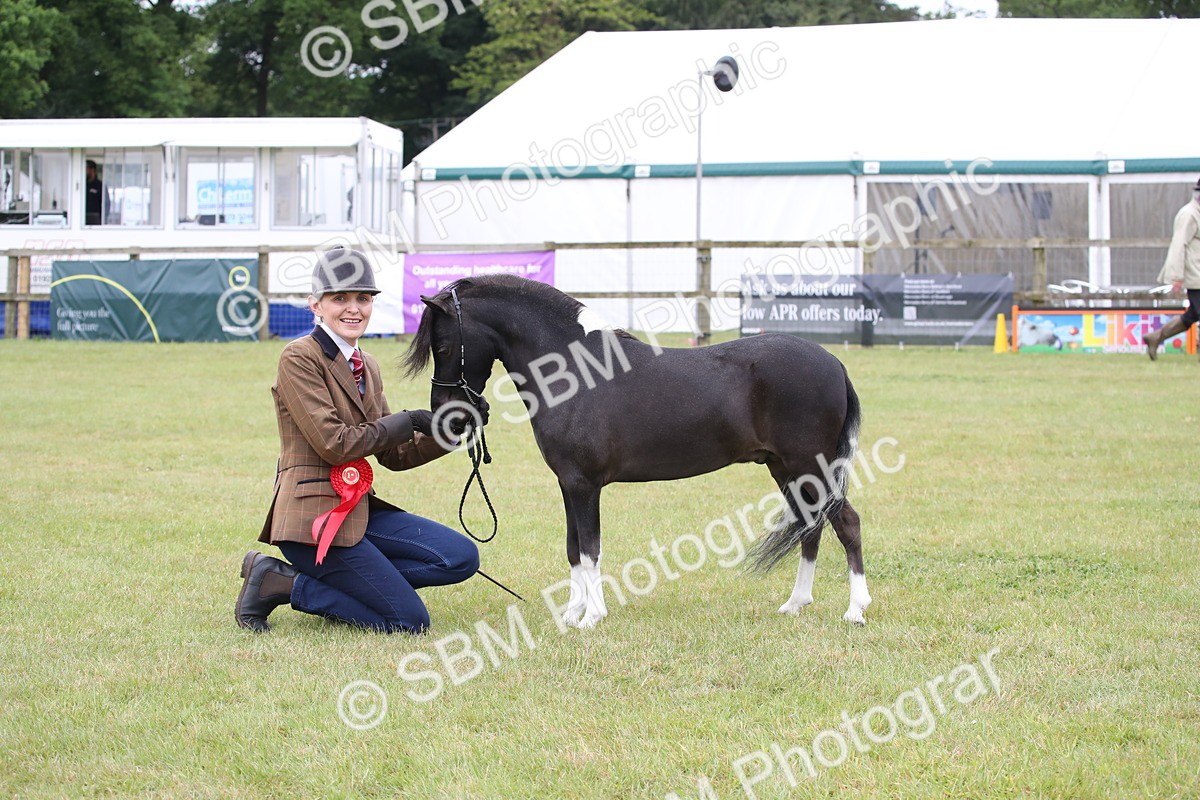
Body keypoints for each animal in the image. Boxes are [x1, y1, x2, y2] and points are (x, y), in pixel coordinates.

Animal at [402, 274, 871, 628]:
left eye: (443, 347)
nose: (447, 416)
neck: (576, 371)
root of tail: (833, 362)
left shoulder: (584, 484)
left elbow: (590, 548)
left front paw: (591, 617)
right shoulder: (567, 484)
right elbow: (573, 547)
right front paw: (571, 614)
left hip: (809, 464)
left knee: (845, 523)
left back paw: (855, 611)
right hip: (787, 469)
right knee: (812, 527)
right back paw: (795, 604)